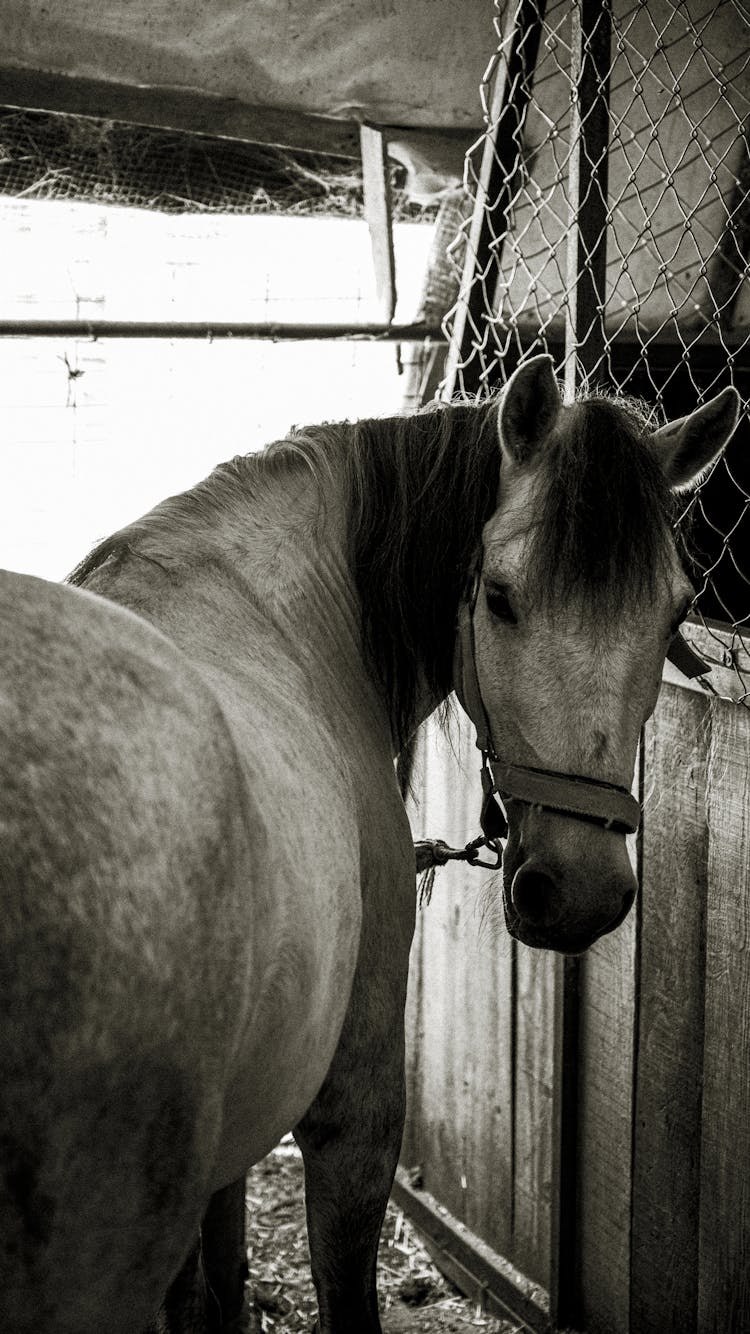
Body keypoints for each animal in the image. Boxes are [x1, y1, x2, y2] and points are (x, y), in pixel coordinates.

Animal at [0, 357, 736, 1334]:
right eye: (499, 596)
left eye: (674, 612)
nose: (579, 889)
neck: (283, 610)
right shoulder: (358, 1102)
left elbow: (217, 1281)